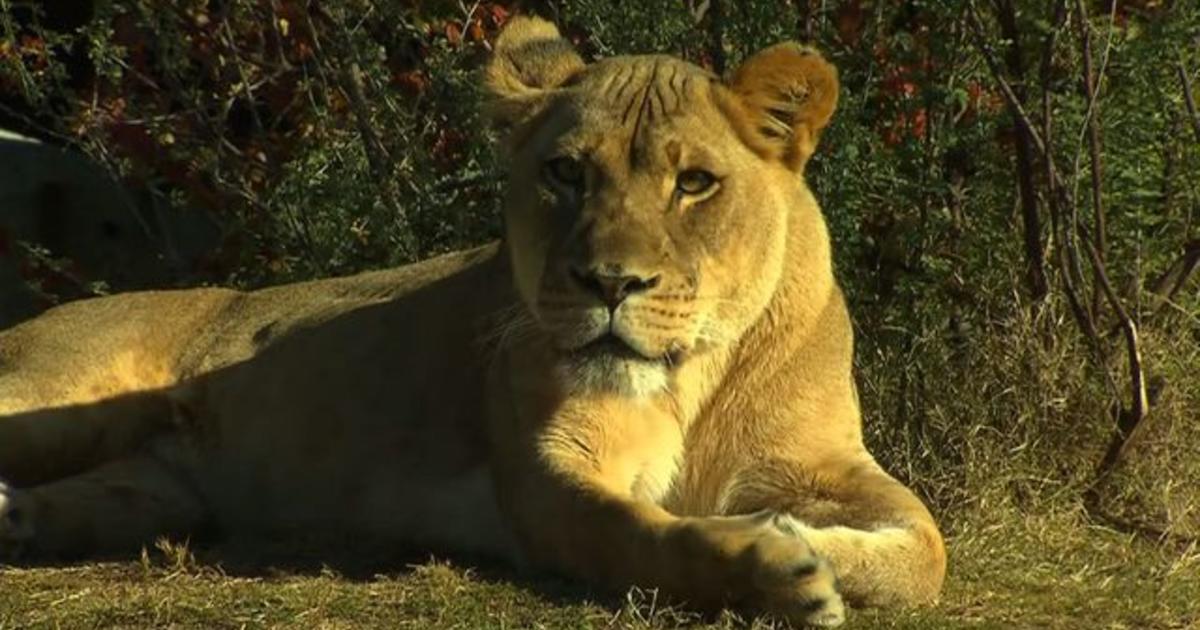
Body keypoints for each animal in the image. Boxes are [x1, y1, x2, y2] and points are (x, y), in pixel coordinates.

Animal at [0, 17, 940, 624]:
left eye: (696, 183)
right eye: (566, 172)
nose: (610, 283)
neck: (690, 380)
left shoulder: (822, 462)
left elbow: (925, 550)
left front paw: (804, 537)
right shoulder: (546, 476)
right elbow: (639, 536)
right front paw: (771, 564)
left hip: (152, 491)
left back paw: (18, 516)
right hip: (52, 400)